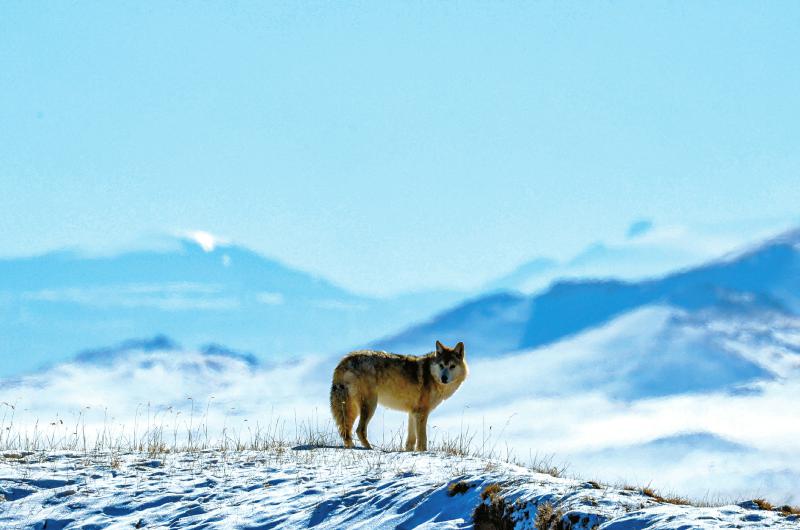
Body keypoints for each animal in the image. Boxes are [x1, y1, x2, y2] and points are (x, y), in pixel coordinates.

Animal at [332, 338, 468, 450]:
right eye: (441, 365)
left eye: (452, 366)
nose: (444, 378)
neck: (431, 376)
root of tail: (345, 359)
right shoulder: (422, 413)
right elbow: (422, 440)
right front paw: (422, 452)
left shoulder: (413, 412)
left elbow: (411, 441)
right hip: (370, 405)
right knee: (359, 430)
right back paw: (370, 448)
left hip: (353, 407)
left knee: (347, 430)